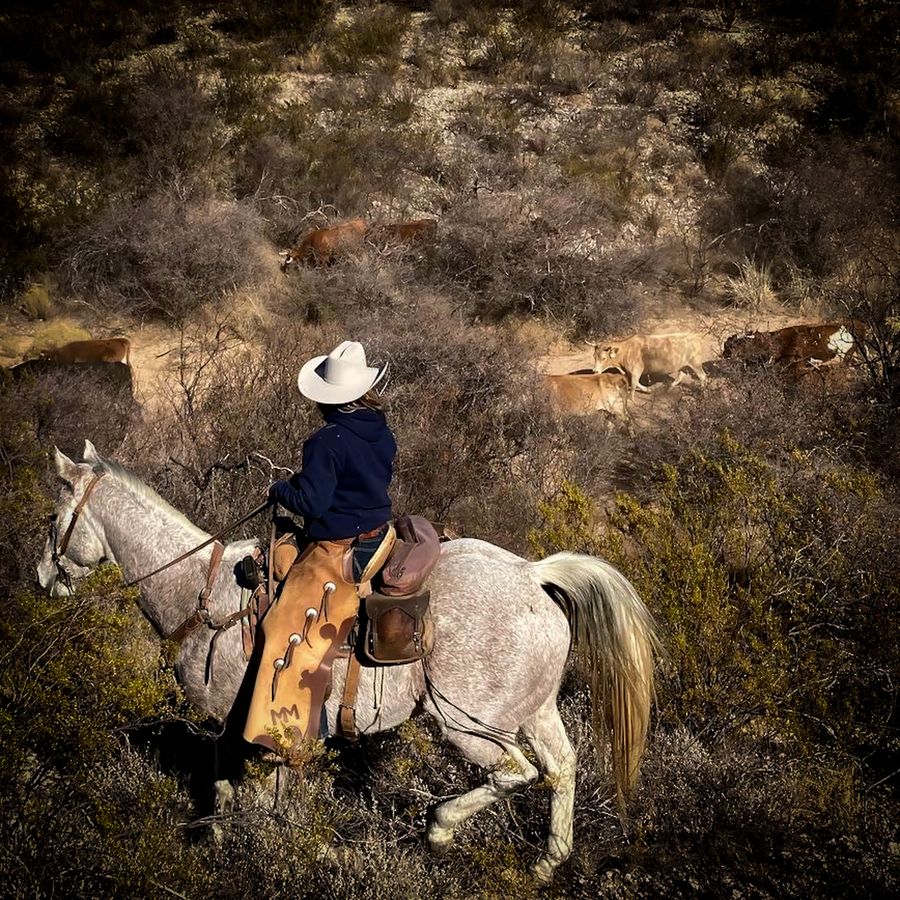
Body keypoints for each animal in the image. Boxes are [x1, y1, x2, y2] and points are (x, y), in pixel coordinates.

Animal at [38, 442, 656, 880]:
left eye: (52, 518)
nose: (43, 579)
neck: (199, 592)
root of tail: (531, 573)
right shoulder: (246, 732)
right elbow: (244, 791)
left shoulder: (238, 726)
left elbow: (239, 791)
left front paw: (237, 848)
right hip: (536, 710)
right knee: (562, 768)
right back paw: (547, 863)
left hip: (469, 724)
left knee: (516, 772)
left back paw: (440, 831)